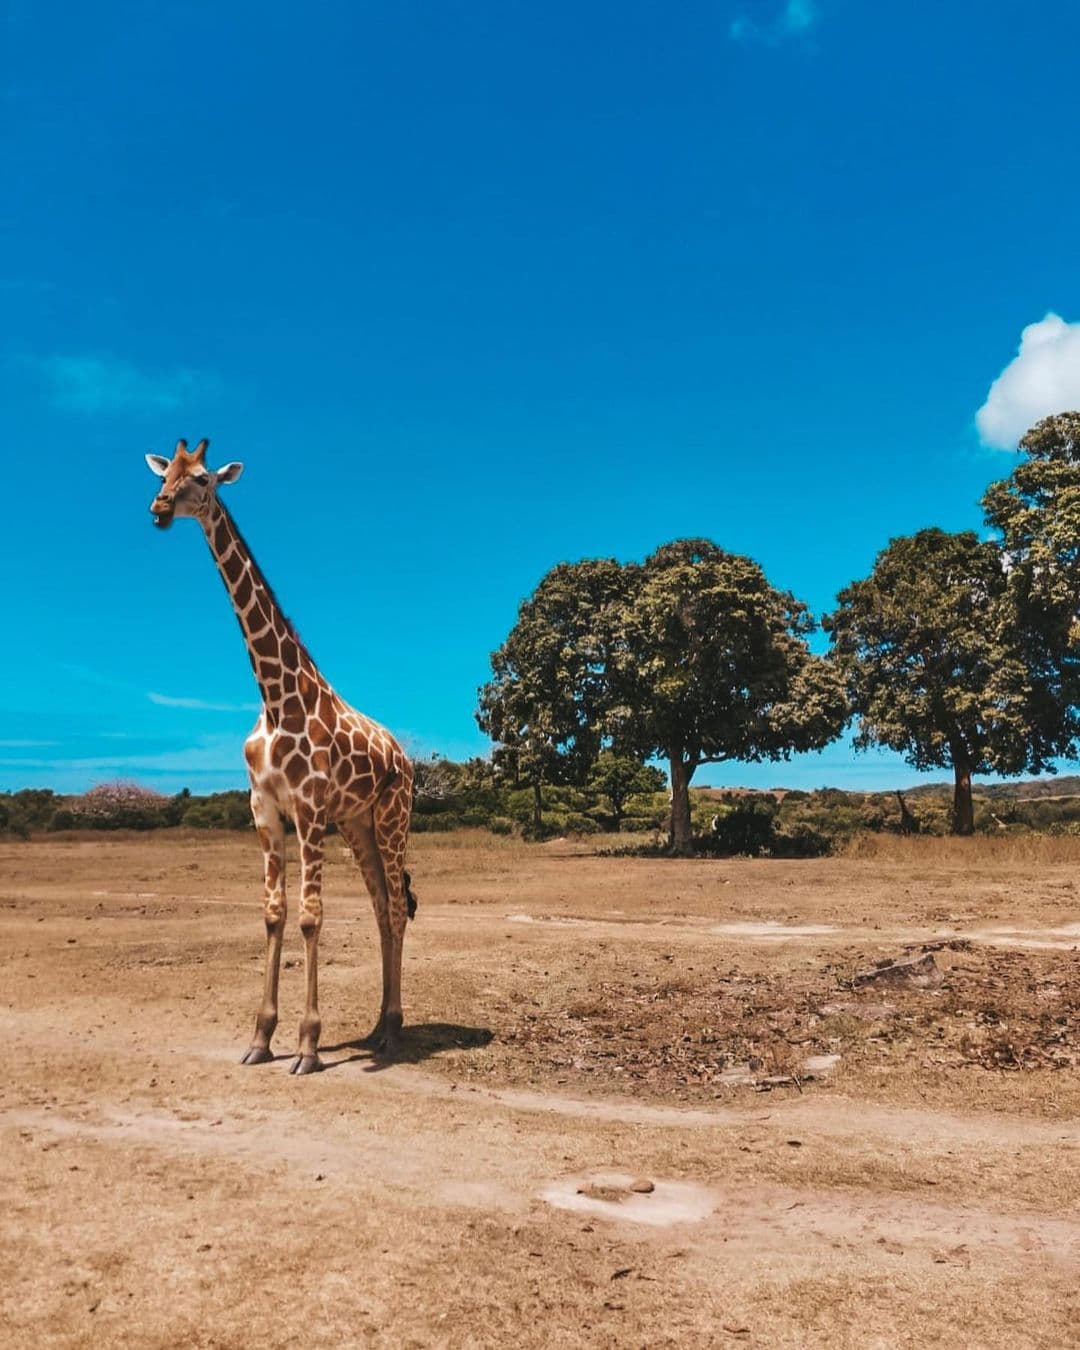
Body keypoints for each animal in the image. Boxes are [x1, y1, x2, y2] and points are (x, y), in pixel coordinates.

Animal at [143, 440, 413, 1074]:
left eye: (201, 479)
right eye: (164, 474)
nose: (159, 509)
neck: (274, 696)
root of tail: (405, 756)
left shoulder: (309, 809)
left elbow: (312, 916)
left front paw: (309, 1045)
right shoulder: (264, 810)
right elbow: (274, 914)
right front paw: (261, 1037)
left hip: (392, 817)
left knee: (395, 908)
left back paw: (393, 1029)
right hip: (358, 823)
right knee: (380, 906)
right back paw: (376, 1026)